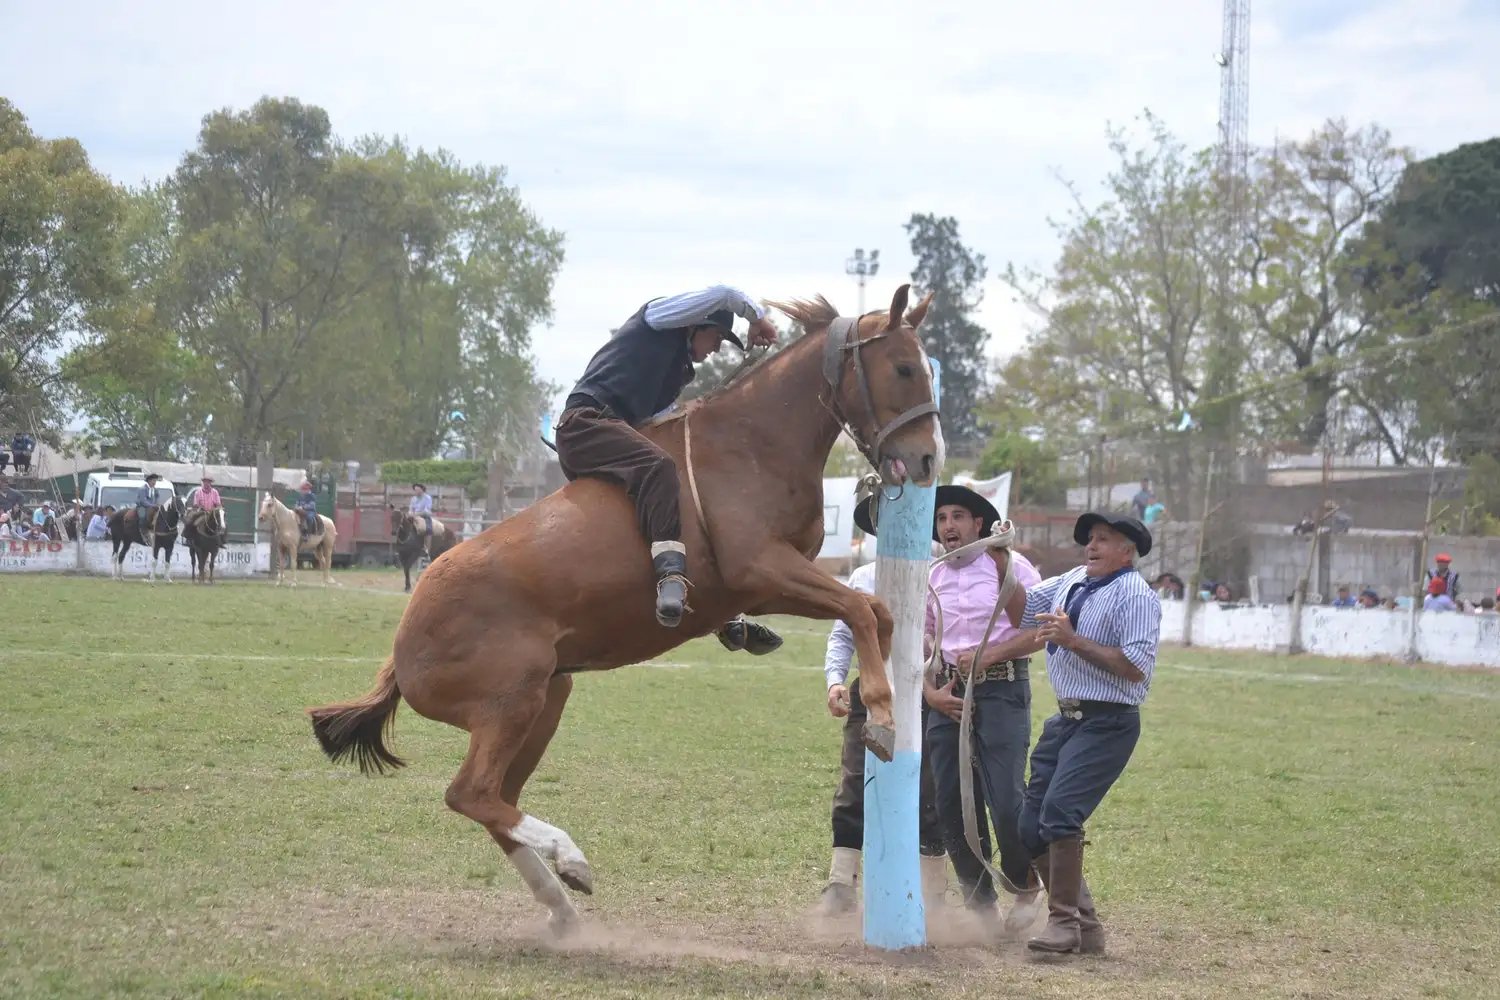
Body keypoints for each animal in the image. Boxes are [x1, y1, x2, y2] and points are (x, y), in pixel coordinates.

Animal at [308, 285, 944, 934]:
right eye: (902, 368)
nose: (927, 461)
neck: (752, 442)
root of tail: (403, 646)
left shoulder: (769, 586)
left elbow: (876, 611)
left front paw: (881, 703)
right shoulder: (762, 568)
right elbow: (863, 609)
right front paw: (883, 719)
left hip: (545, 701)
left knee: (495, 802)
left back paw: (562, 904)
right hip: (510, 702)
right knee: (470, 792)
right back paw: (571, 858)